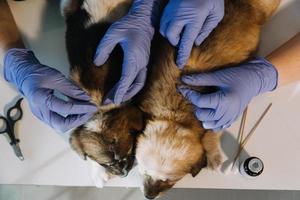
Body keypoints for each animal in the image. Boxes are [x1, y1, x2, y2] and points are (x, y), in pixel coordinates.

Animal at [136, 0, 282, 198]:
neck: (175, 115)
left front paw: (213, 155)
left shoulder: (218, 111)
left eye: (170, 180)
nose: (148, 195)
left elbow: (211, 133)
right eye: (144, 172)